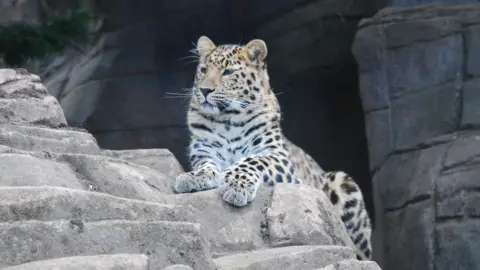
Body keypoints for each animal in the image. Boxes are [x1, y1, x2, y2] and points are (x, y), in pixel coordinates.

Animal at [174, 35, 374, 260]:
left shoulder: (277, 156)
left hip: (343, 183)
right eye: (203, 70)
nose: (205, 90)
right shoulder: (203, 152)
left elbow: (252, 161)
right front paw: (193, 178)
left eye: (228, 72)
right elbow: (205, 166)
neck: (227, 120)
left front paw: (236, 184)